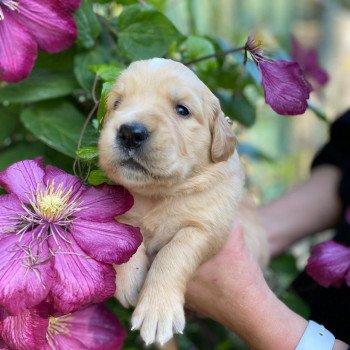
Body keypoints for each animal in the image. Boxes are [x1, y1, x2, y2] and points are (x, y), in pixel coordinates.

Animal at [98, 58, 268, 344]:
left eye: (182, 110)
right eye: (117, 104)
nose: (130, 132)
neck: (159, 194)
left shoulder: (209, 227)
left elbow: (174, 252)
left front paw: (157, 311)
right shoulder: (122, 203)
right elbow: (126, 232)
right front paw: (129, 279)